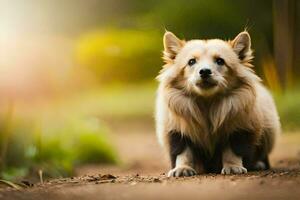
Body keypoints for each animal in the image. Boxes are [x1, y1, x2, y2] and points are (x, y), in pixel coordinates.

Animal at [156, 30, 280, 177]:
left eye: (220, 61)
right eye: (191, 61)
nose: (204, 71)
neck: (207, 102)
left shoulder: (241, 128)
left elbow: (233, 150)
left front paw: (233, 166)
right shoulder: (176, 129)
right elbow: (183, 152)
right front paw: (182, 168)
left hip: (270, 127)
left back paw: (259, 164)